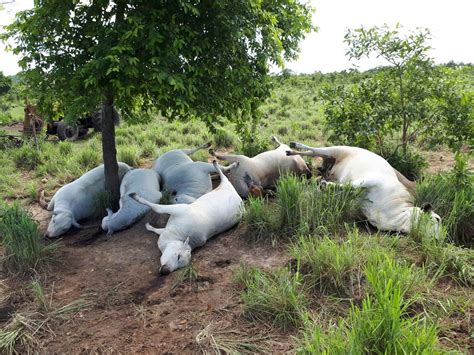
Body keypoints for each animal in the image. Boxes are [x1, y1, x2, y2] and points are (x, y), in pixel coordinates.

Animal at [286, 142, 440, 236]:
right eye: (437, 219)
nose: (439, 239)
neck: (398, 215)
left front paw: (325, 185)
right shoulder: (371, 180)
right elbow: (350, 185)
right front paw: (326, 185)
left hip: (330, 159)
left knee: (314, 155)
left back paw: (291, 152)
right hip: (338, 149)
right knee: (314, 149)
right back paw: (293, 146)